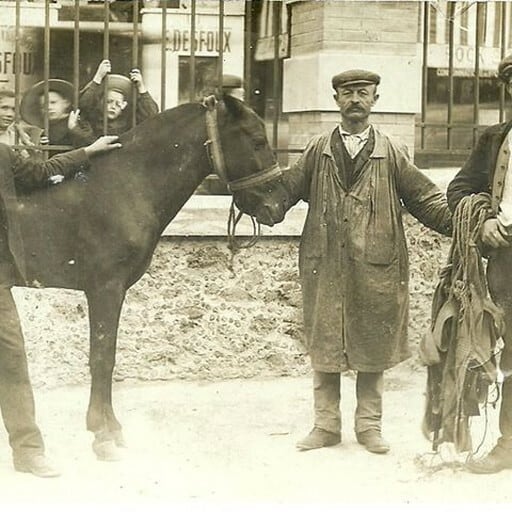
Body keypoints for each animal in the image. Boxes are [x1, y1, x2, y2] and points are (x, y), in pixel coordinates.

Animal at [13, 95, 292, 460]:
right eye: (257, 140)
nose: (280, 205)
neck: (125, 185)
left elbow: (108, 356)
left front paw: (111, 428)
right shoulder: (105, 288)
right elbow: (102, 357)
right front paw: (102, 434)